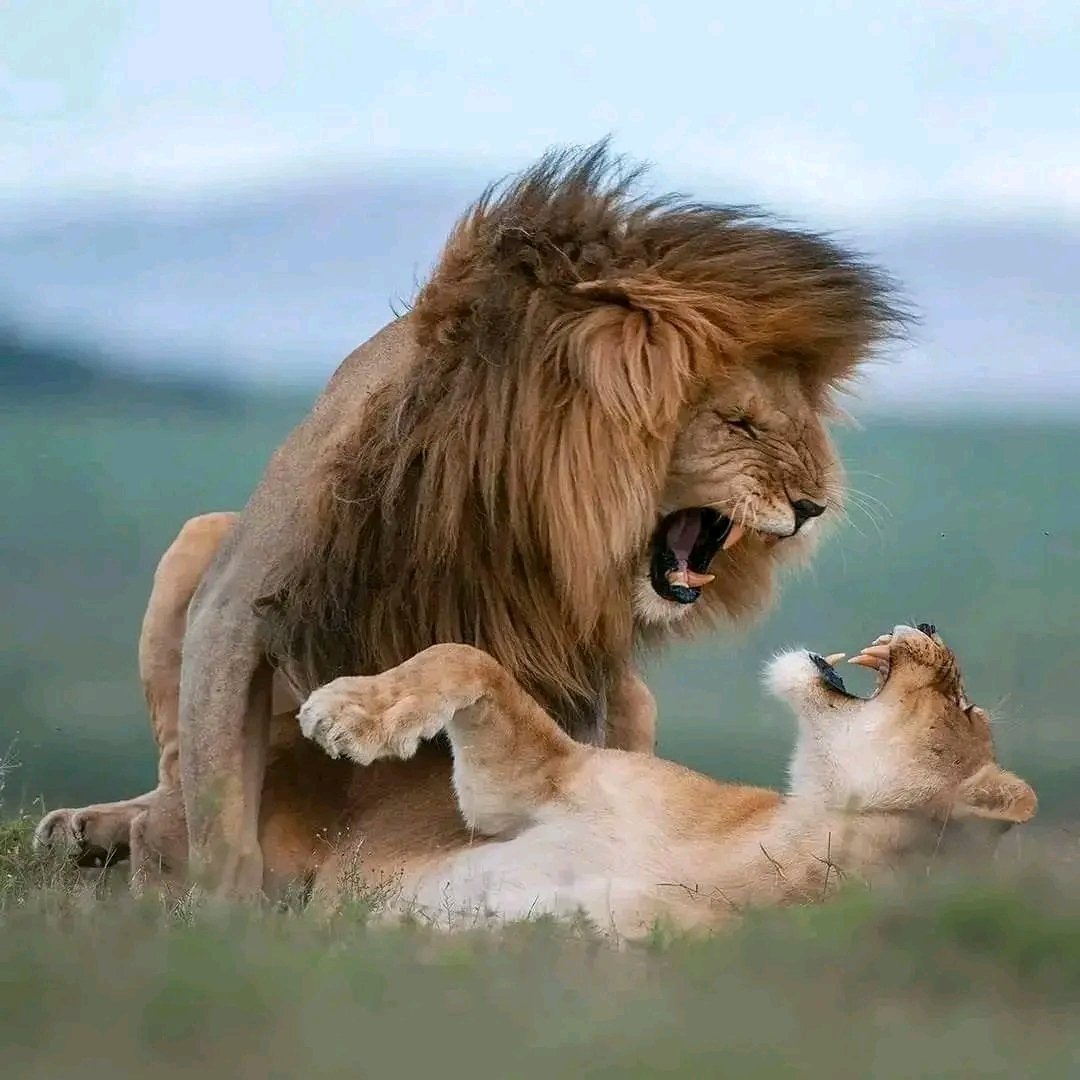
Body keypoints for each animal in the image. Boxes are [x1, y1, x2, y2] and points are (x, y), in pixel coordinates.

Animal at [37, 143, 904, 897]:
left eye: (801, 427)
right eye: (740, 425)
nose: (813, 505)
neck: (505, 495)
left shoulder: (572, 664)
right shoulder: (235, 598)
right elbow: (217, 812)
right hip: (197, 540)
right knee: (175, 774)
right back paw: (94, 826)